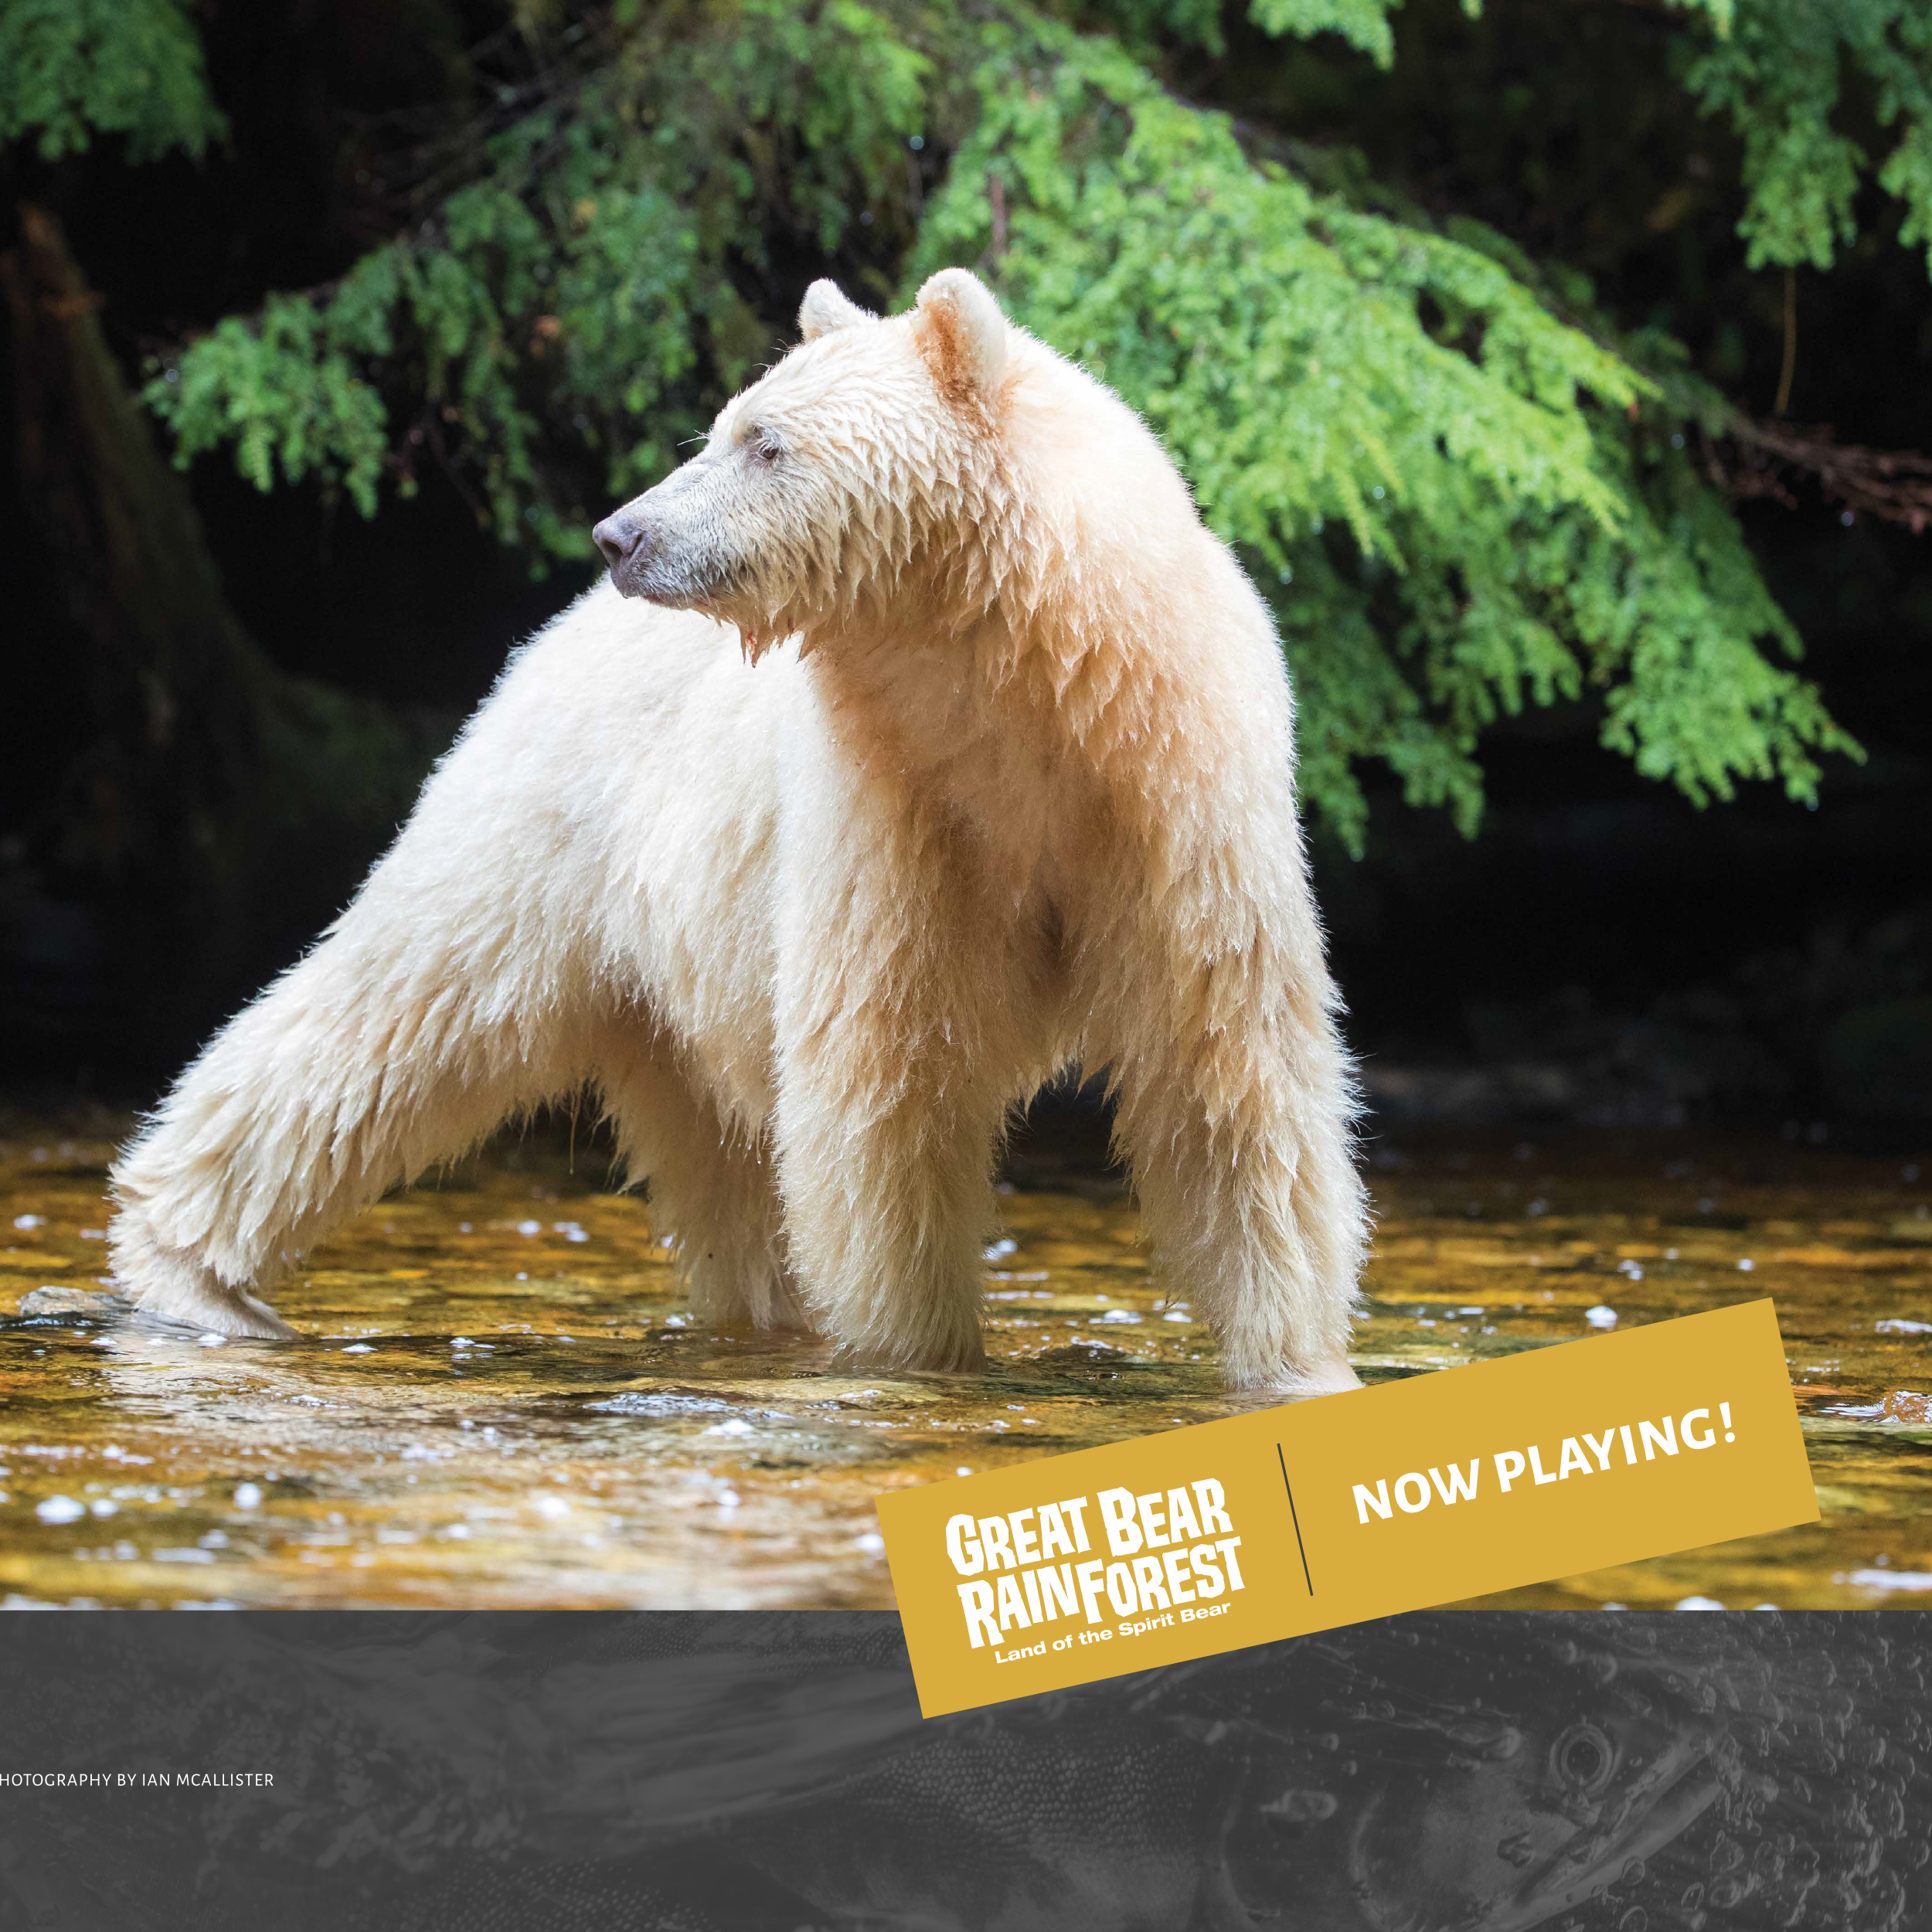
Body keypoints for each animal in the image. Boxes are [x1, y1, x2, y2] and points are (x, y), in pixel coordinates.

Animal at [107, 268, 1367, 1392]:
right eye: (724, 425)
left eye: (764, 443)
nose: (621, 534)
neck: (1025, 698)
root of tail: (552, 634)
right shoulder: (896, 812)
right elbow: (886, 1088)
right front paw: (914, 1358)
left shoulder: (1177, 818)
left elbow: (1228, 1084)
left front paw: (1297, 1364)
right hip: (547, 829)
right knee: (389, 1016)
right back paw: (185, 1270)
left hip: (679, 984)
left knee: (722, 1169)